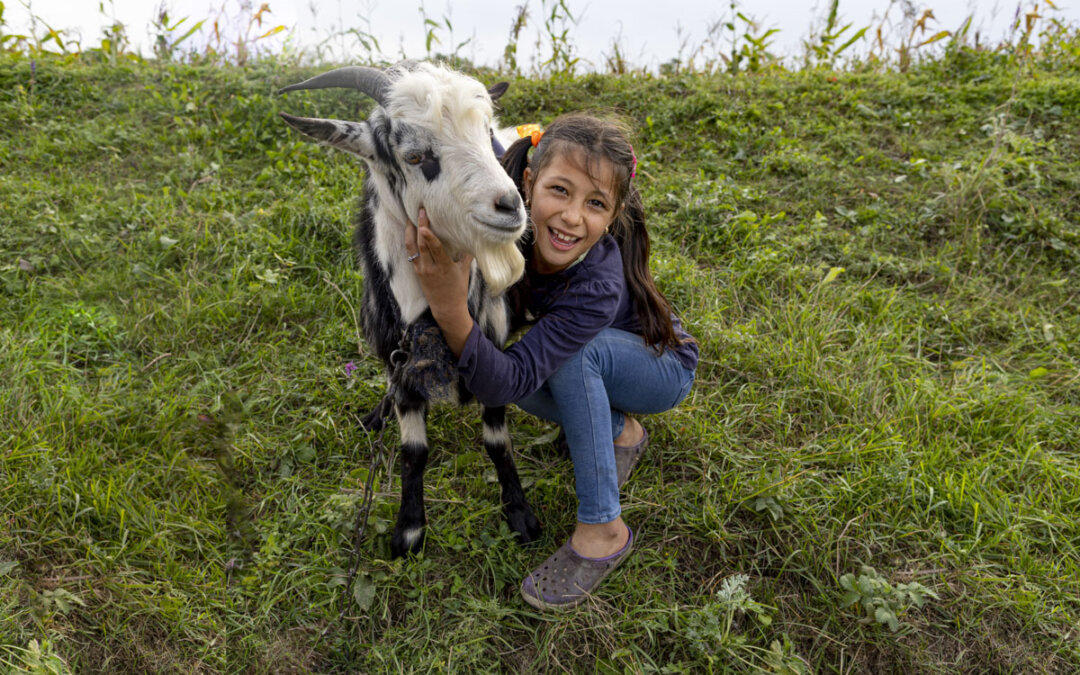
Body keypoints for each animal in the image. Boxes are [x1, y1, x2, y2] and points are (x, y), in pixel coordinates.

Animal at [280, 60, 540, 557]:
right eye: (416, 156)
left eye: (485, 133)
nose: (510, 206)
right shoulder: (399, 361)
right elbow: (413, 450)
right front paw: (409, 531)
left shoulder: (495, 351)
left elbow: (496, 439)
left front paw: (520, 514)